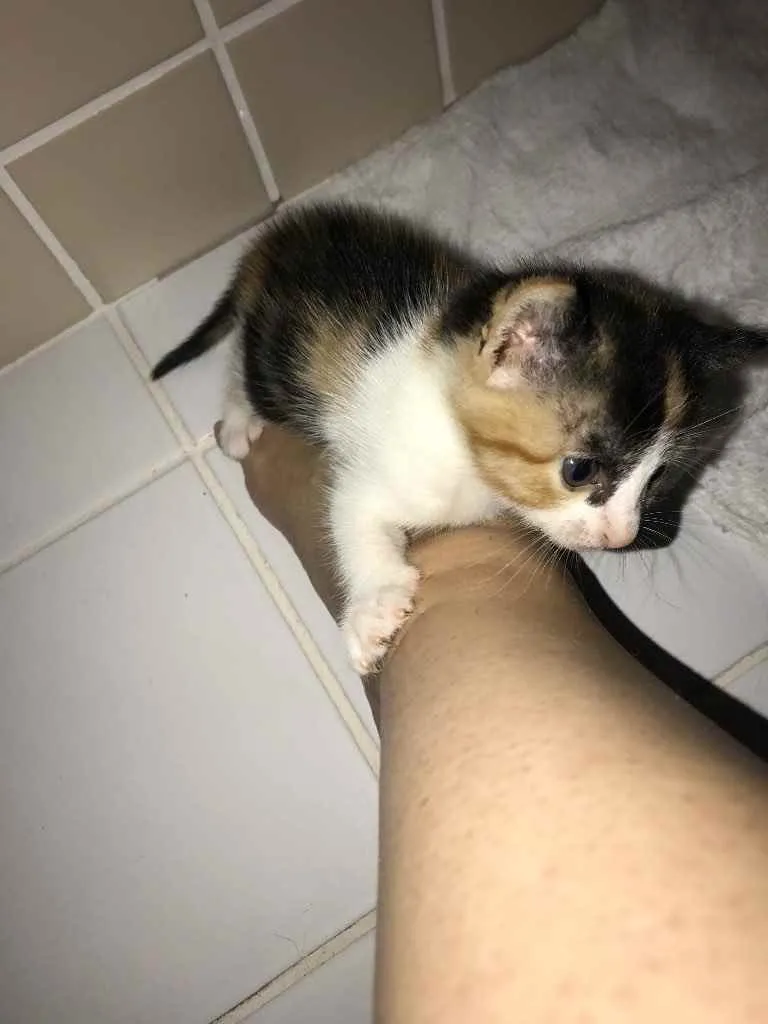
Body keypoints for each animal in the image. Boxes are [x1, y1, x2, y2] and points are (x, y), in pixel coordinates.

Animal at [151, 203, 766, 674]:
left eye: (658, 476)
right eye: (579, 470)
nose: (622, 537)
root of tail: (276, 239)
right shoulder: (377, 473)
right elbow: (352, 519)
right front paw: (373, 608)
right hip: (276, 364)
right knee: (242, 368)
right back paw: (237, 421)